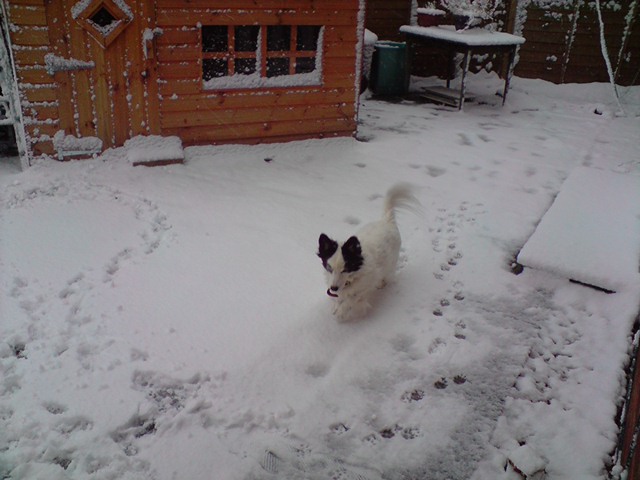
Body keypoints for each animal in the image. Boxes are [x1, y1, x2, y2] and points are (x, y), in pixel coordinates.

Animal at [318, 184, 422, 322]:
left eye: (345, 269)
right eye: (329, 268)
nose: (333, 288)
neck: (352, 277)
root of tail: (386, 220)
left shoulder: (366, 283)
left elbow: (353, 298)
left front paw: (342, 311)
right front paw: (337, 306)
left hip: (391, 263)